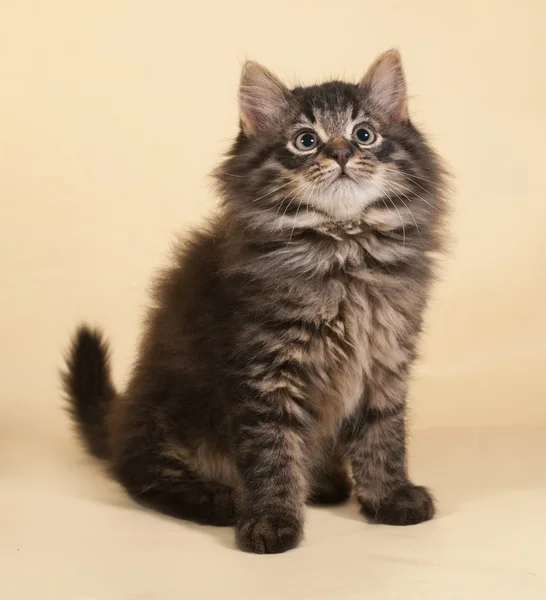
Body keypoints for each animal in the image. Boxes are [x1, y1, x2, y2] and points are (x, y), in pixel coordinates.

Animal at [62, 50, 446, 552]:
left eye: (365, 134)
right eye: (306, 141)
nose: (341, 153)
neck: (342, 252)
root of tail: (117, 416)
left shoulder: (384, 360)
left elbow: (382, 436)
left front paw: (390, 496)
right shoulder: (265, 370)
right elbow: (271, 450)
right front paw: (270, 520)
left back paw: (322, 482)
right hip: (165, 413)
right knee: (143, 475)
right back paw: (216, 499)